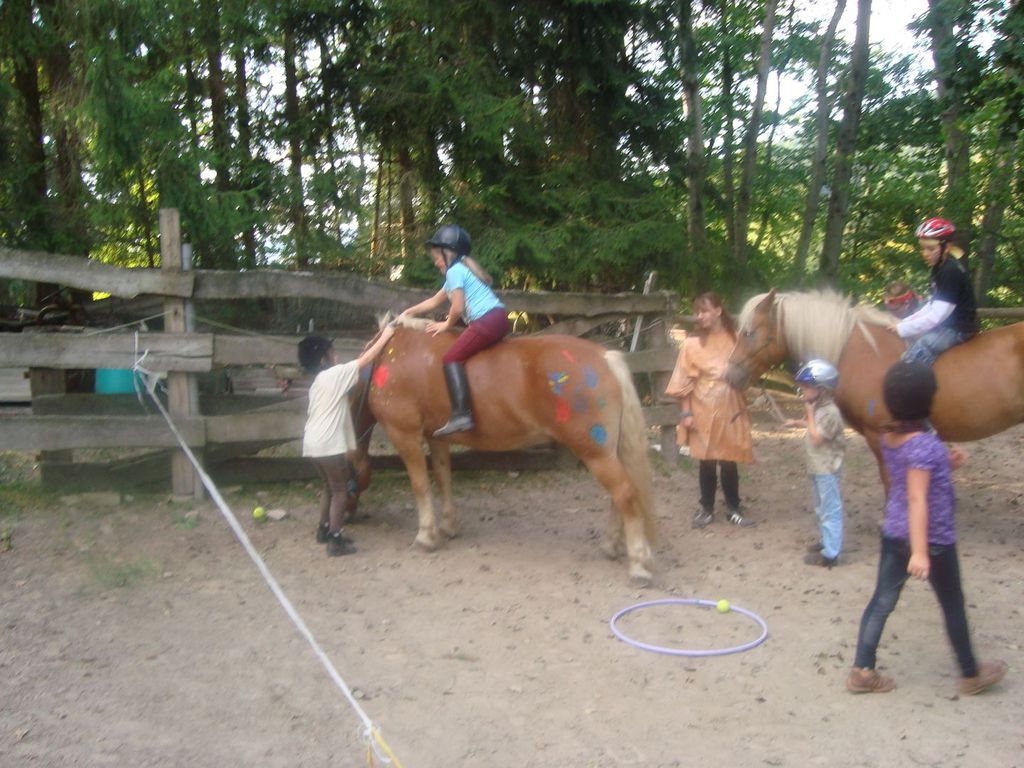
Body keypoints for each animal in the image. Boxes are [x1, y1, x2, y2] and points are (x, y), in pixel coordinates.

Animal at [346, 317, 657, 582]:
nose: (347, 518)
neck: (391, 356)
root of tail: (605, 358)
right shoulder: (437, 437)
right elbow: (443, 478)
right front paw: (448, 525)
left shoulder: (405, 434)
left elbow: (420, 484)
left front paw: (426, 535)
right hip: (608, 452)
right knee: (620, 496)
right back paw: (611, 545)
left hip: (596, 453)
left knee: (625, 494)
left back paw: (638, 564)